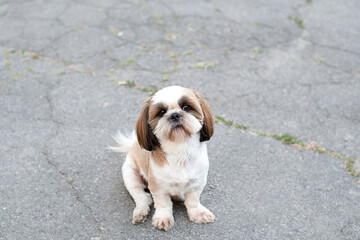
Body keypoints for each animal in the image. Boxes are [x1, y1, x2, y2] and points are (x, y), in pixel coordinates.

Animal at [111, 86, 215, 231]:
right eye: (161, 112)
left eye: (186, 107)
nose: (175, 115)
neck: (180, 150)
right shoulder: (157, 186)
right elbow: (163, 203)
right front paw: (163, 217)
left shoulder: (197, 182)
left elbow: (193, 200)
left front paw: (198, 213)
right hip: (130, 174)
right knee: (142, 196)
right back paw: (141, 212)